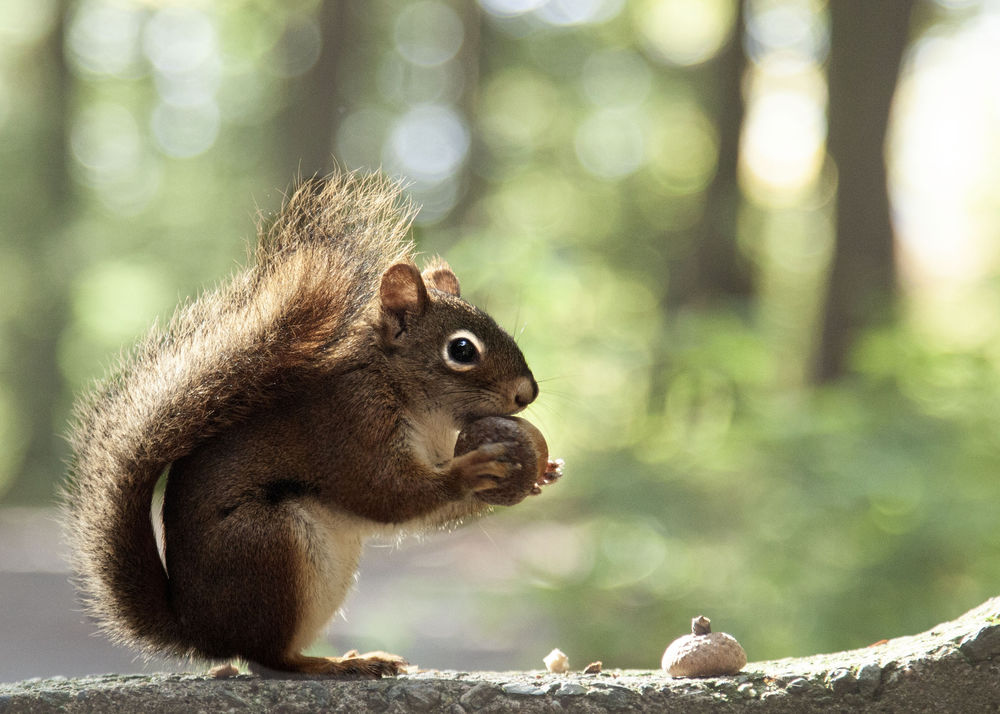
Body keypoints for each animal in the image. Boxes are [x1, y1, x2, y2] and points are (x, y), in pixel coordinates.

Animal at [62, 171, 561, 678]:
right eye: (461, 350)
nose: (527, 393)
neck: (417, 402)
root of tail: (201, 631)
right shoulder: (351, 423)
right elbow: (385, 493)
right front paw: (473, 469)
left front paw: (544, 473)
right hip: (272, 549)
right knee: (270, 657)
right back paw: (332, 664)